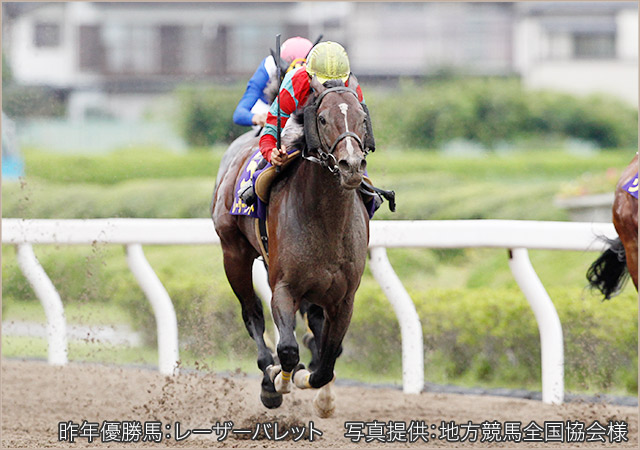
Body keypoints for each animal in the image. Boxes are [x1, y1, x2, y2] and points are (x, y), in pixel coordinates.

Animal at [211, 75, 370, 416]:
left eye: (362, 118)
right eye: (322, 119)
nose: (351, 165)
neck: (326, 221)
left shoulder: (344, 298)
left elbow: (328, 358)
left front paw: (320, 393)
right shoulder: (284, 286)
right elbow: (286, 348)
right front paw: (280, 379)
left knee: (314, 325)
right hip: (233, 252)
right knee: (252, 313)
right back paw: (268, 378)